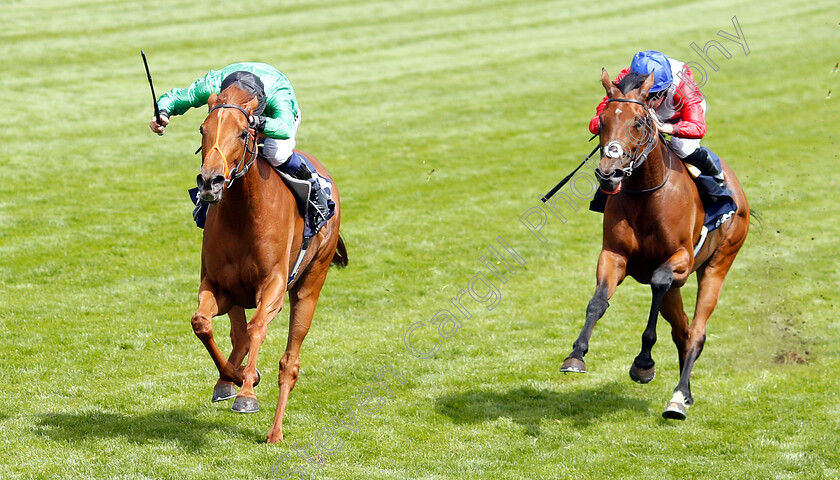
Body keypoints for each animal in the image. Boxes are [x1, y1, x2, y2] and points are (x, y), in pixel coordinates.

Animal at [191, 82, 348, 442]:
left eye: (243, 132)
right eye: (204, 129)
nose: (210, 181)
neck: (242, 214)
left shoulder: (273, 287)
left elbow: (257, 328)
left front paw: (247, 393)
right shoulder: (219, 287)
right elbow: (202, 323)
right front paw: (235, 378)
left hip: (309, 286)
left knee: (289, 362)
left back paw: (275, 432)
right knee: (237, 335)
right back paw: (228, 381)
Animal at [560, 69, 752, 418]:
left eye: (638, 122)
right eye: (602, 120)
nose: (609, 173)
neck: (647, 196)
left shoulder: (681, 260)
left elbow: (659, 280)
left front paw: (643, 364)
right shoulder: (614, 255)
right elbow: (597, 301)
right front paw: (576, 355)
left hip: (719, 263)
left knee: (697, 331)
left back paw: (678, 398)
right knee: (683, 330)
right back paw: (685, 393)